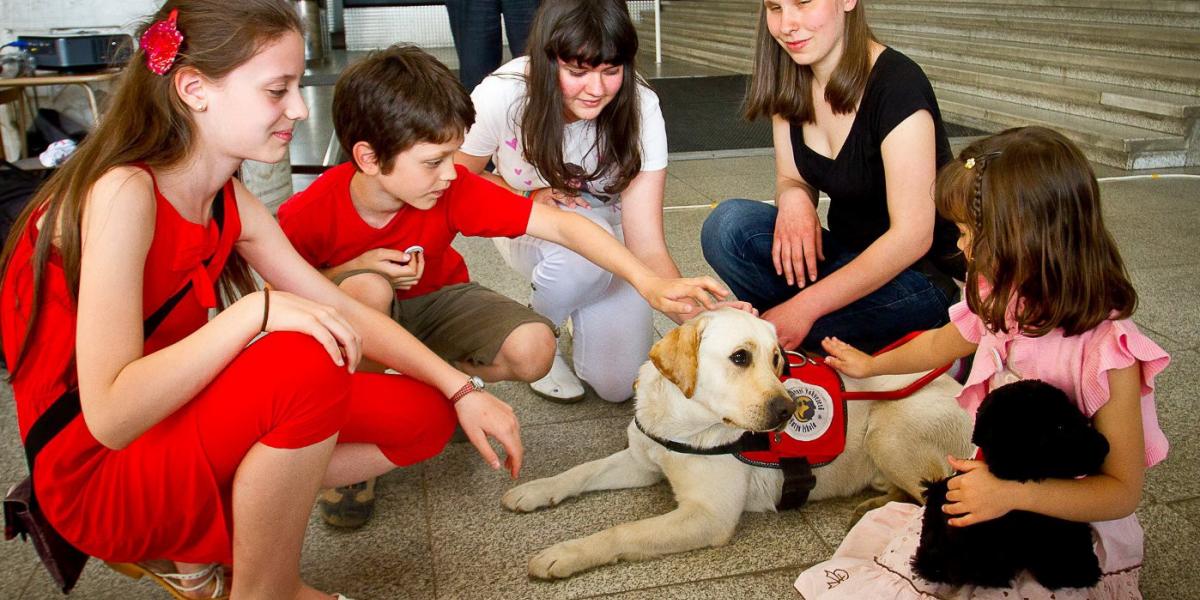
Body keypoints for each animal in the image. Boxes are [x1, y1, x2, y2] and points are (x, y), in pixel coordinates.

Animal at [501, 307, 969, 578]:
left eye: (777, 359)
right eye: (741, 357)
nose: (790, 409)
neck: (684, 420)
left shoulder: (708, 515)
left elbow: (622, 532)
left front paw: (566, 553)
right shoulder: (641, 460)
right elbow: (580, 471)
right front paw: (535, 490)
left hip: (889, 431)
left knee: (932, 499)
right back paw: (872, 506)